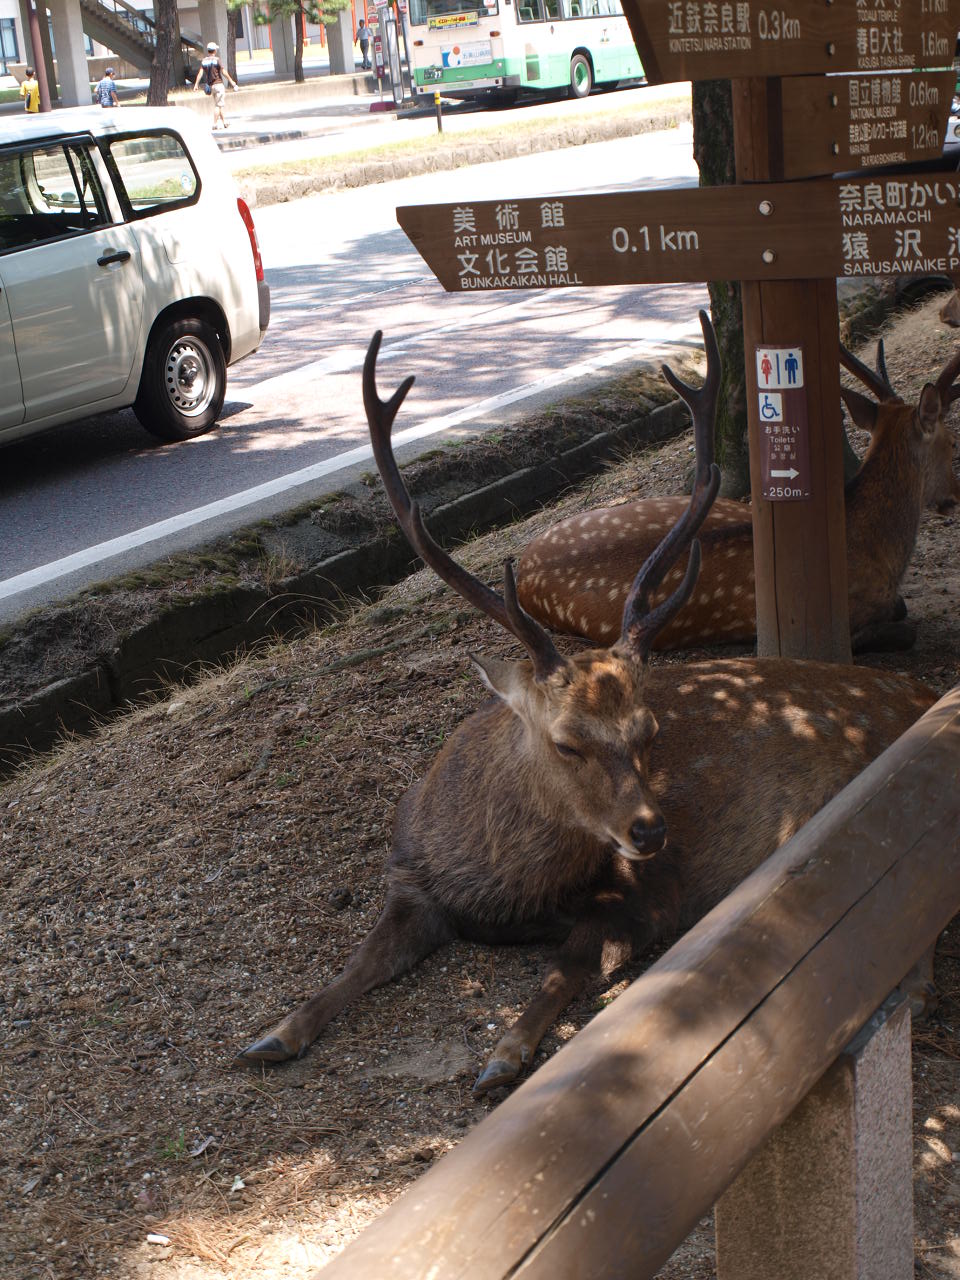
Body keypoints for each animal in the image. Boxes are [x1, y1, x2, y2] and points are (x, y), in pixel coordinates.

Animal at [514, 337, 957, 650]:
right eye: (951, 441)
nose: (952, 497)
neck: (876, 553)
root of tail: (520, 568)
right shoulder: (846, 622)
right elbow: (904, 627)